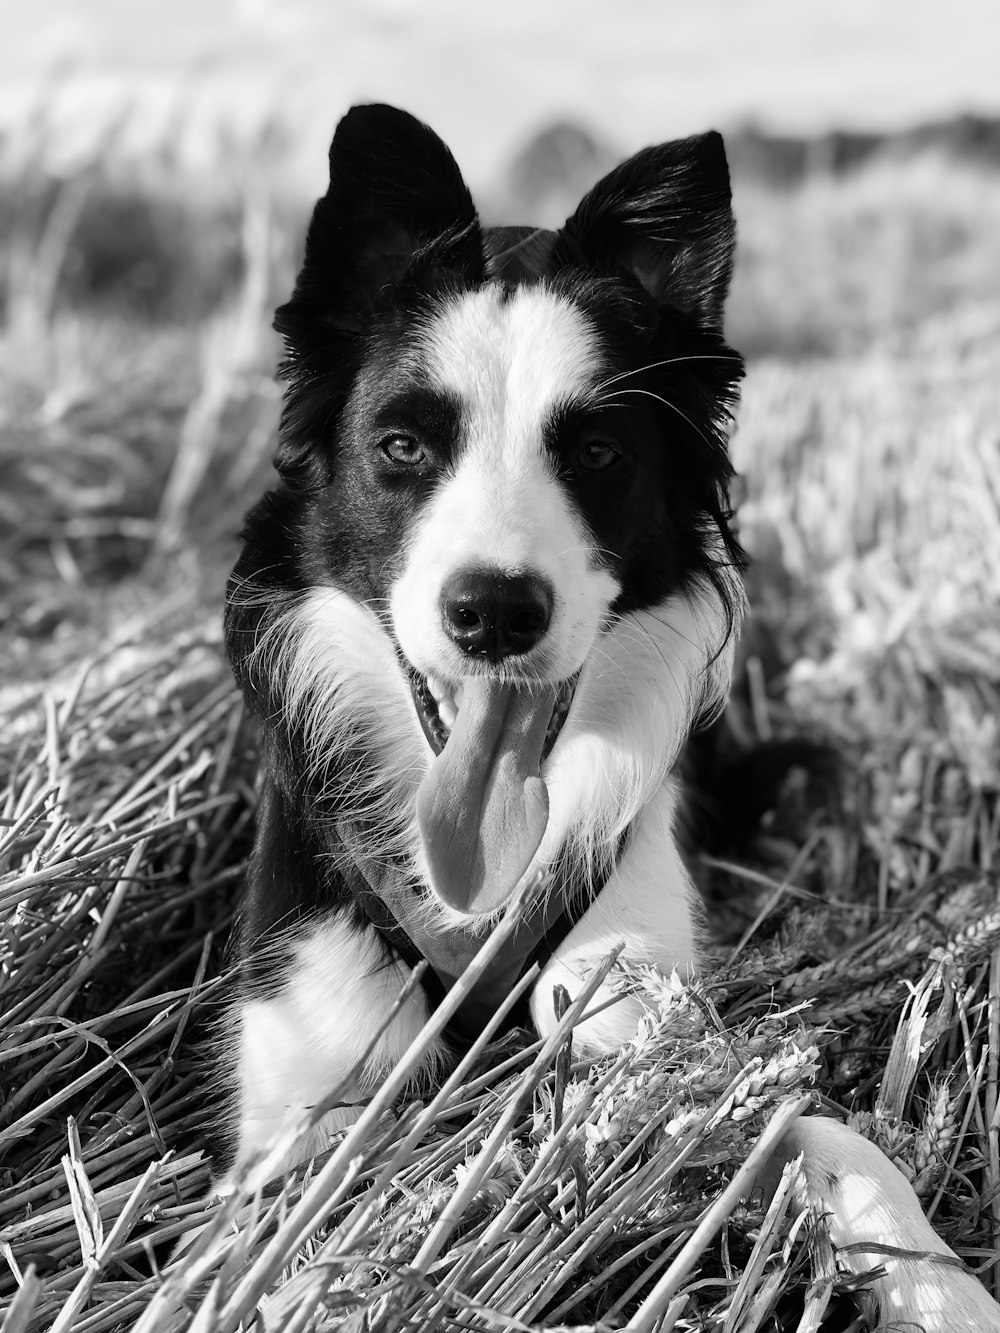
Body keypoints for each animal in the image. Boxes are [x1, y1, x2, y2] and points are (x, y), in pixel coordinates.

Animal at [218, 106, 1000, 1333]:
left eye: (595, 451)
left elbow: (811, 1130)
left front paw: (936, 1283)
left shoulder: (642, 1022)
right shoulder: (299, 1093)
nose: (494, 610)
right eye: (403, 447)